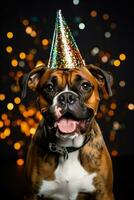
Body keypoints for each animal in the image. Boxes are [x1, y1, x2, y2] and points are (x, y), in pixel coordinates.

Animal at [20, 63, 114, 199]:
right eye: (49, 87)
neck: (68, 148)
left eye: (85, 86)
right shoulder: (31, 194)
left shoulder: (104, 194)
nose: (67, 97)